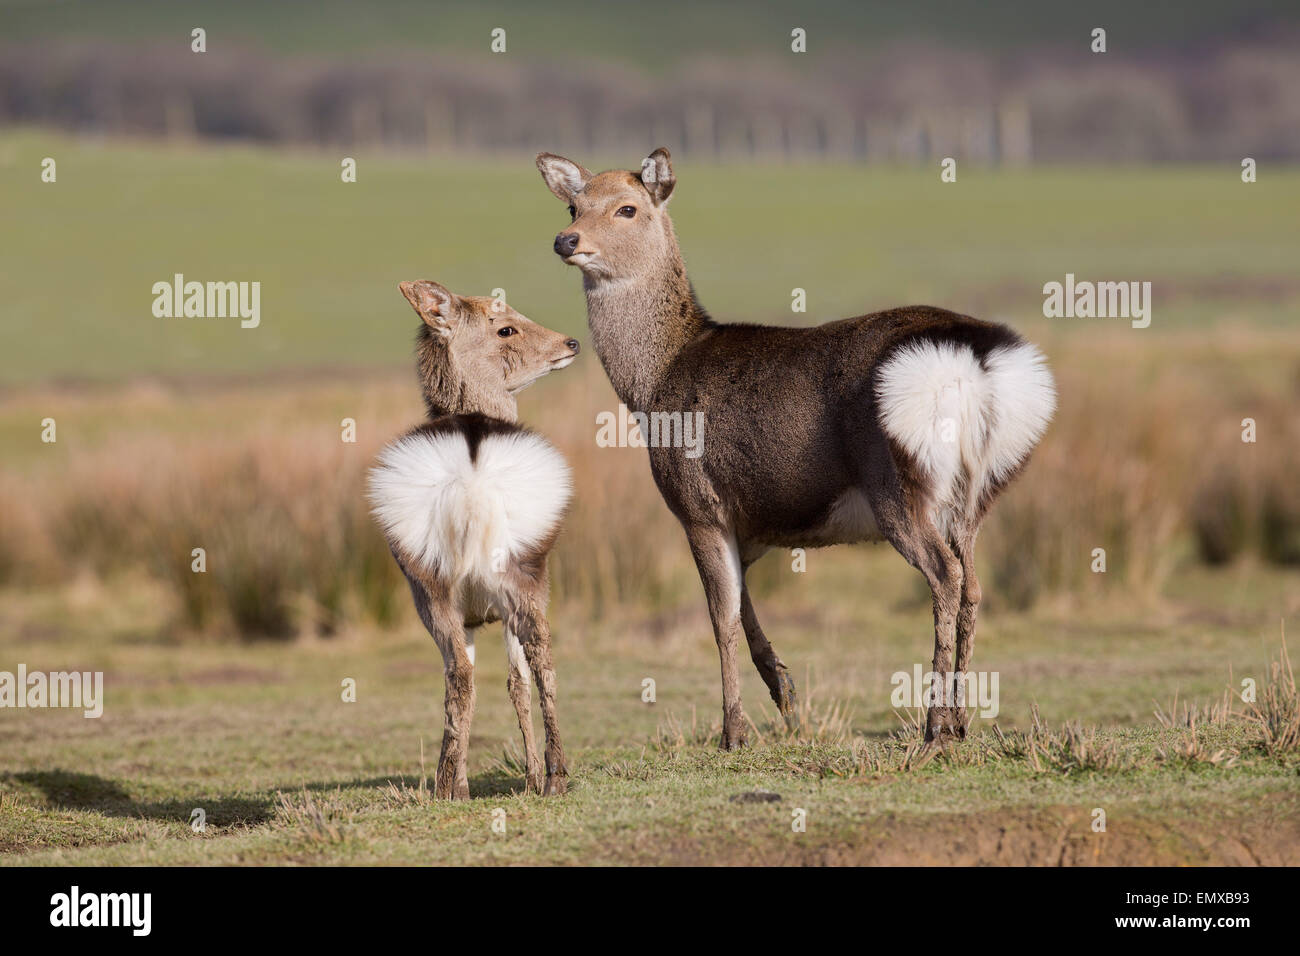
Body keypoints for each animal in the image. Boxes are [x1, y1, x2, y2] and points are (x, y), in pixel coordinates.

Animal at [366, 280, 579, 796]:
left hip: (435, 586)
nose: (570, 342)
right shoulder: (494, 611)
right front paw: (529, 776)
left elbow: (495, 682)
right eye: (505, 327)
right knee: (539, 662)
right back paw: (552, 776)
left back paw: (450, 786)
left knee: (461, 674)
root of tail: (472, 483)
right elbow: (516, 683)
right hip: (519, 577)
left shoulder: (471, 614)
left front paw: (475, 780)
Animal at [538, 147, 1055, 749]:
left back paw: (935, 723)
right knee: (972, 585)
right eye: (573, 205)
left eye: (627, 208)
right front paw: (782, 691)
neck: (653, 390)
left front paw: (733, 732)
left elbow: (720, 616)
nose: (566, 240)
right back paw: (963, 719)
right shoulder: (753, 521)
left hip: (899, 483)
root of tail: (977, 360)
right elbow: (744, 604)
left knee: (945, 575)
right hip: (979, 489)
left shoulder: (697, 504)